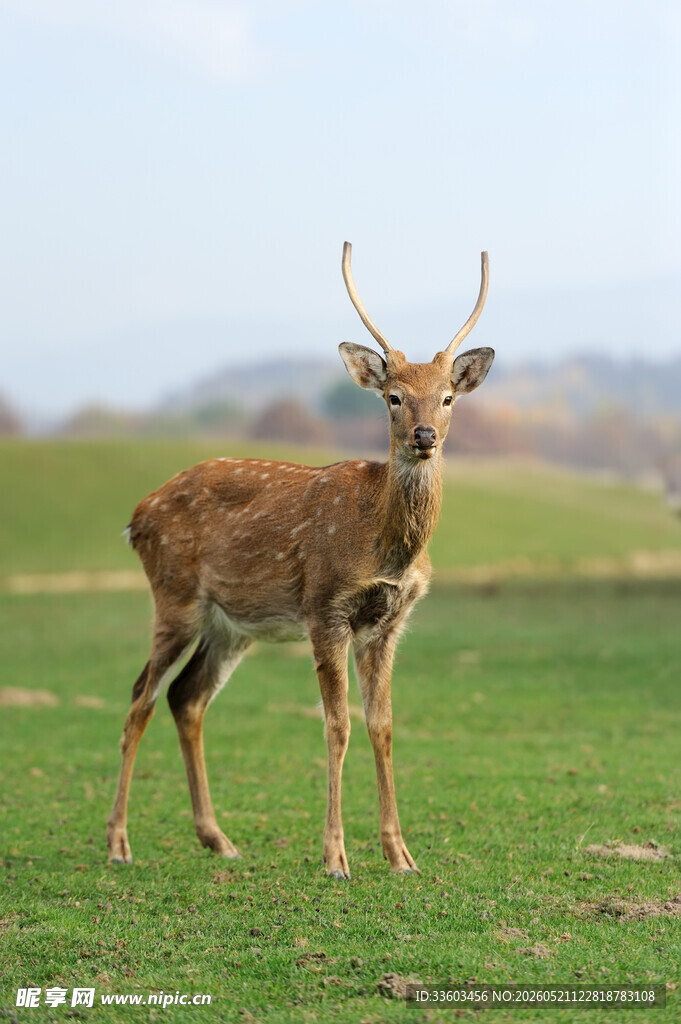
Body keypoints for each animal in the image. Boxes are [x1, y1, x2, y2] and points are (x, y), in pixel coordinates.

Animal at [106, 242, 494, 878]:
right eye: (392, 396)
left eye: (447, 397)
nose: (424, 435)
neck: (384, 546)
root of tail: (135, 517)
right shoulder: (324, 607)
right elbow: (336, 725)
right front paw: (335, 857)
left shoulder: (390, 623)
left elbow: (382, 725)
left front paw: (401, 855)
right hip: (174, 596)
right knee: (140, 697)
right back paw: (118, 843)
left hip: (231, 625)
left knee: (186, 697)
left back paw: (218, 838)